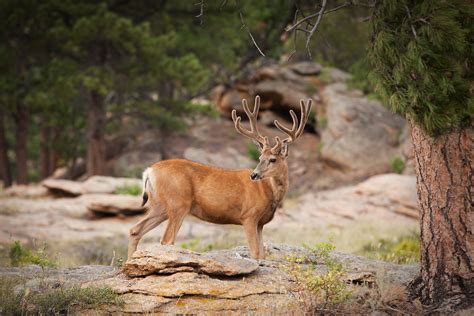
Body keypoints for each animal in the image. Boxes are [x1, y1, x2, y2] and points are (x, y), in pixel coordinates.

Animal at [127, 95, 312, 260]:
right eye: (260, 158)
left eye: (272, 159)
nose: (254, 175)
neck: (268, 191)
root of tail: (149, 171)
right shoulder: (249, 216)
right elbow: (255, 253)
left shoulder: (260, 223)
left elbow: (262, 254)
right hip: (178, 202)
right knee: (166, 239)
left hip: (160, 205)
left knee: (135, 230)